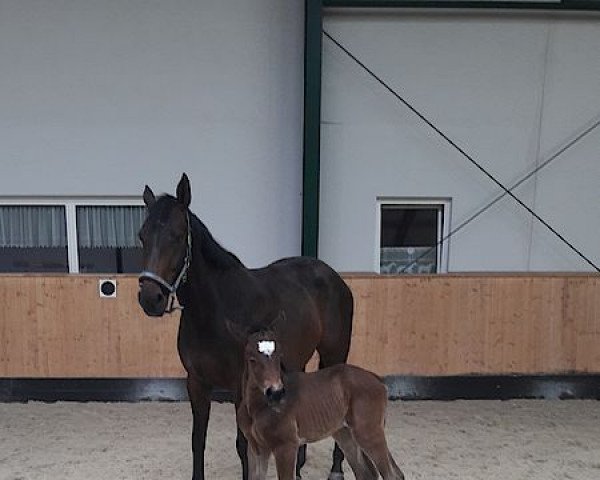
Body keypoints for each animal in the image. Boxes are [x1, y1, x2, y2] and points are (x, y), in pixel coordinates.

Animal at [138, 175, 354, 480]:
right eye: (142, 236)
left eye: (177, 235)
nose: (150, 298)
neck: (215, 311)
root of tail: (334, 277)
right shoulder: (196, 382)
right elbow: (197, 439)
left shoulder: (240, 386)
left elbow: (244, 445)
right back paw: (298, 467)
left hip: (335, 353)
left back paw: (336, 469)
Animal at [232, 322, 406, 480]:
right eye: (252, 359)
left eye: (279, 356)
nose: (276, 392)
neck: (257, 408)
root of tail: (379, 380)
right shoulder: (256, 447)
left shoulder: (286, 446)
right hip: (345, 433)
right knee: (367, 473)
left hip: (368, 432)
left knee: (391, 475)